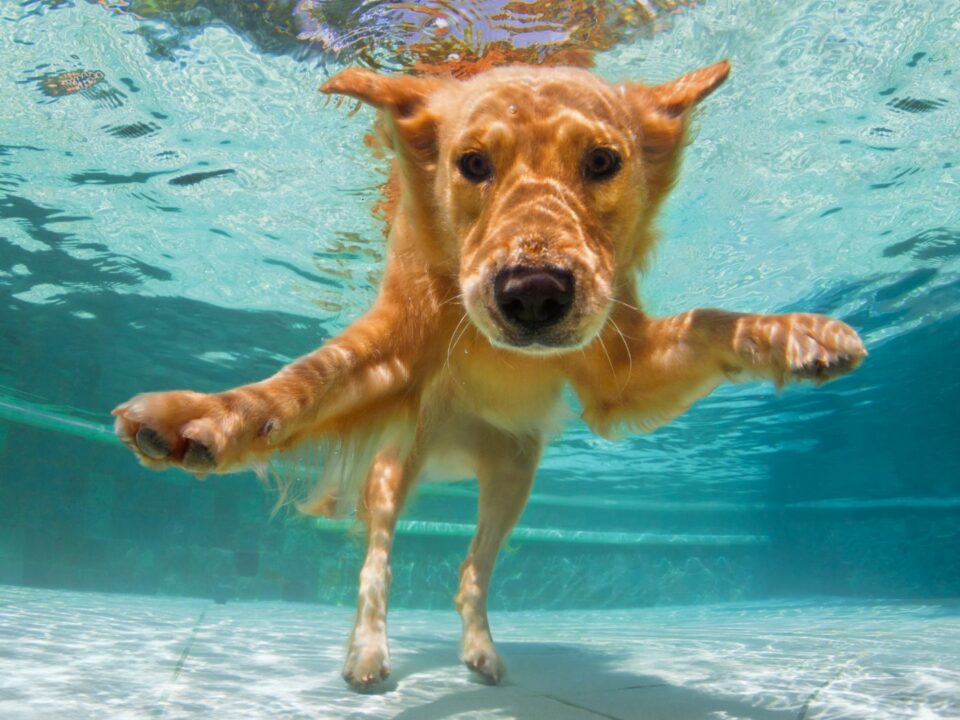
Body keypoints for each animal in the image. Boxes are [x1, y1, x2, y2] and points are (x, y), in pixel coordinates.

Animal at [114, 63, 872, 692]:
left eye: (603, 162)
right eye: (472, 163)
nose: (533, 293)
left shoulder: (619, 373)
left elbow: (710, 321)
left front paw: (796, 334)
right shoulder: (392, 350)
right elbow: (301, 383)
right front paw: (203, 415)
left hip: (514, 474)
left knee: (469, 573)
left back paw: (479, 651)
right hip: (395, 466)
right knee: (376, 563)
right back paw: (367, 653)